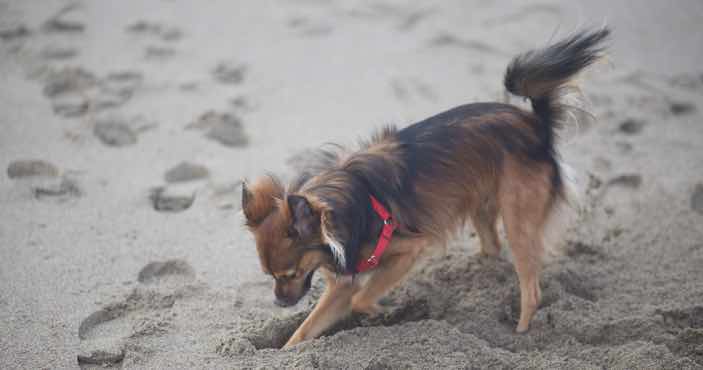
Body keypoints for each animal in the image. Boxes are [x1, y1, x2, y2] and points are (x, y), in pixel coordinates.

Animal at [242, 28, 612, 346]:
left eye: (289, 273)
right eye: (270, 275)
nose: (279, 304)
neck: (344, 209)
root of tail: (536, 125)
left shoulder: (408, 250)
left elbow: (362, 298)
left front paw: (390, 311)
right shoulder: (342, 284)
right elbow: (302, 334)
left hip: (517, 219)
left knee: (531, 289)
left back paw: (519, 333)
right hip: (481, 204)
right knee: (493, 247)